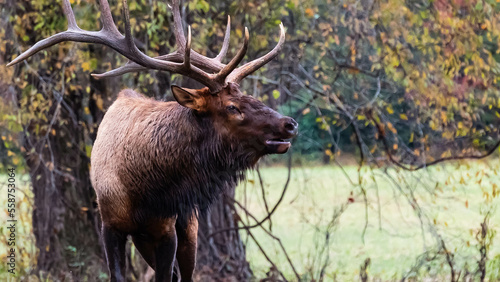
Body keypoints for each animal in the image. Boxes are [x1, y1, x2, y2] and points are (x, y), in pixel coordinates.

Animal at [7, 0, 296, 280]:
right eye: (232, 107)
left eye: (249, 97)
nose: (289, 124)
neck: (142, 191)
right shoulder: (110, 225)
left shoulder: (166, 229)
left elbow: (166, 275)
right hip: (144, 237)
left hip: (187, 226)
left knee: (186, 274)